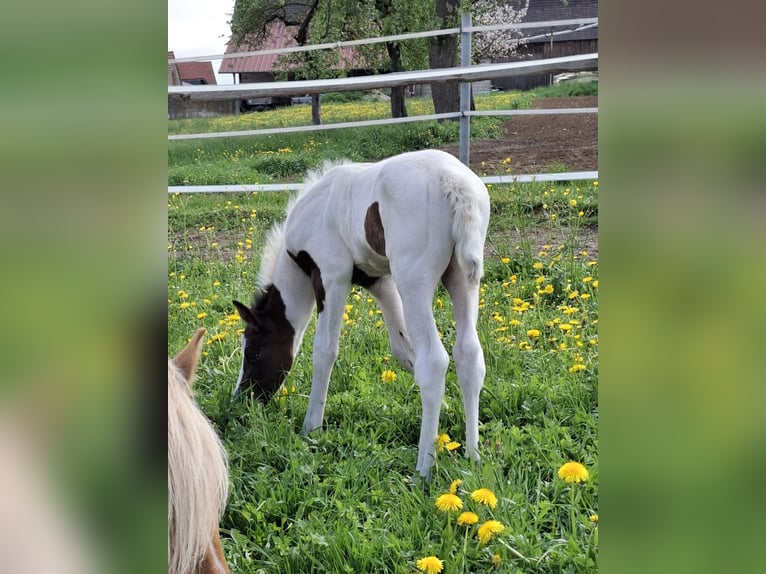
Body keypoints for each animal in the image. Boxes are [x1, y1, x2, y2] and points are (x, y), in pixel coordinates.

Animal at [232, 149, 490, 477]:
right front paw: (445, 411)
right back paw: (472, 455)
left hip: (414, 282)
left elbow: (324, 351)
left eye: (252, 352)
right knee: (468, 355)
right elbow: (403, 350)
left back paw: (423, 469)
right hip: (462, 279)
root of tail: (454, 183)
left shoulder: (332, 276)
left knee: (434, 361)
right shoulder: (378, 282)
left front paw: (311, 427)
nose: (242, 399)